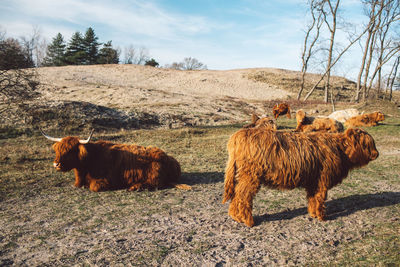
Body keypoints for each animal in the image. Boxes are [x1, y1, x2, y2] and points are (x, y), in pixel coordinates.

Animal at [41, 130, 191, 192]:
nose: (56, 164)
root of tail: (168, 157)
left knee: (154, 184)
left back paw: (134, 187)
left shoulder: (105, 180)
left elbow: (94, 187)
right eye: (58, 150)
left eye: (71, 150)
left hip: (154, 176)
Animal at [222, 126, 378, 227]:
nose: (377, 154)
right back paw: (248, 221)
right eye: (366, 144)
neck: (340, 150)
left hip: (242, 176)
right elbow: (320, 198)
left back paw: (236, 217)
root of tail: (238, 136)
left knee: (236, 195)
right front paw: (321, 217)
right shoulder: (322, 180)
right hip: (250, 177)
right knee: (243, 197)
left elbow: (313, 198)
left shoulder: (314, 181)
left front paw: (313, 214)